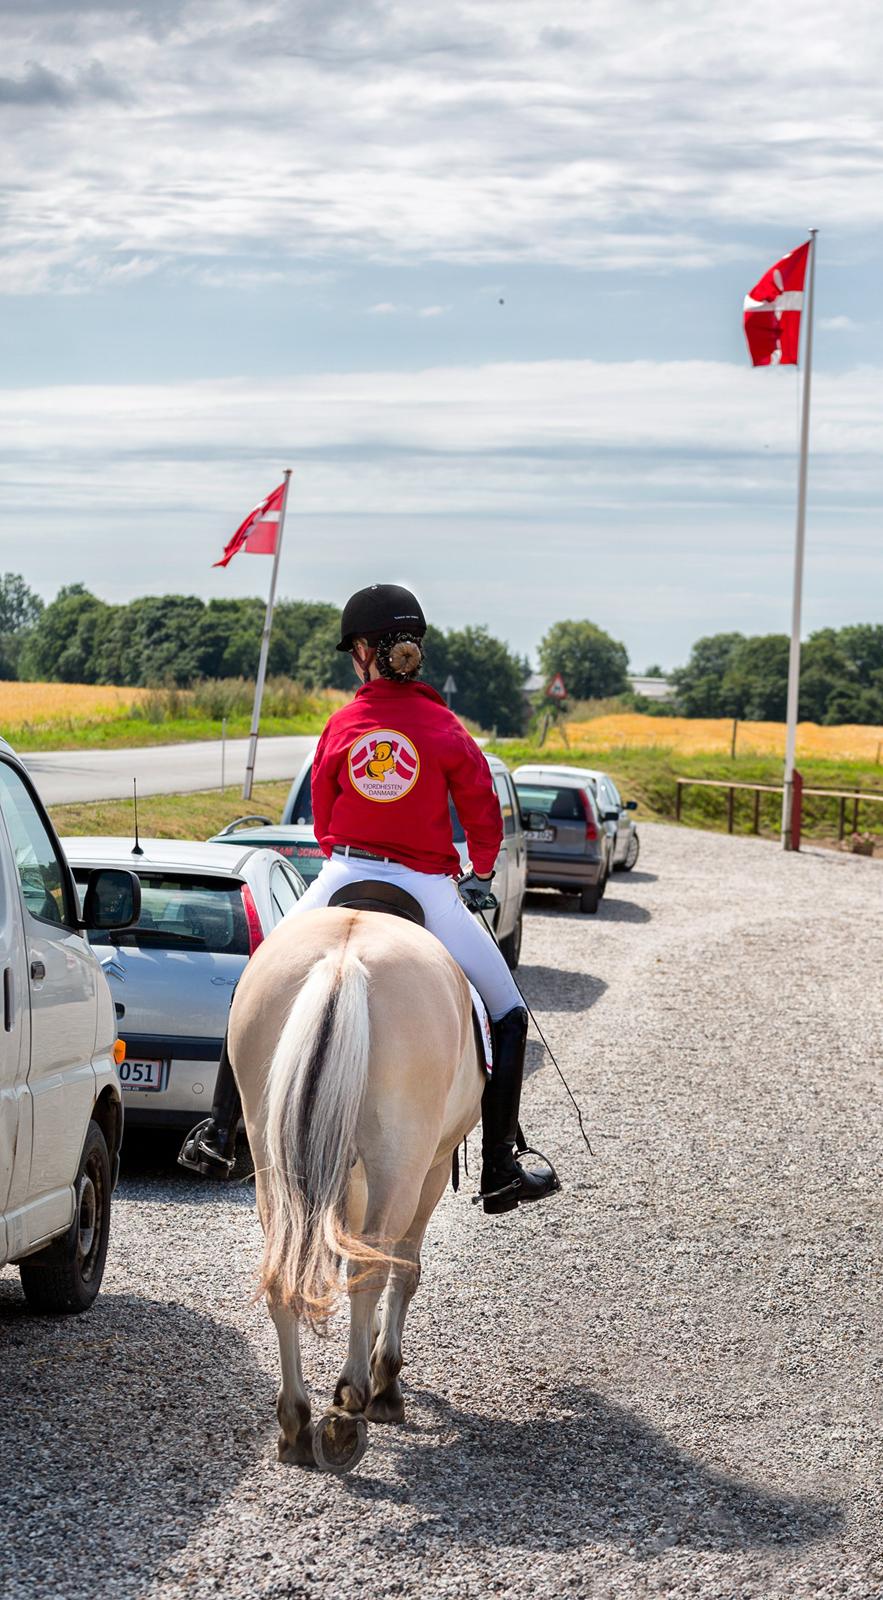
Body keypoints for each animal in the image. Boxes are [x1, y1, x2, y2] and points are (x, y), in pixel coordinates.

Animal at [227, 902, 486, 1472]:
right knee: (373, 1269)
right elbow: (403, 1269)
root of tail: (344, 961)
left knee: (284, 1272)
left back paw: (296, 1423)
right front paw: (385, 1376)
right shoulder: (430, 1170)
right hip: (402, 1165)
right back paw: (353, 1402)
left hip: (272, 1163)